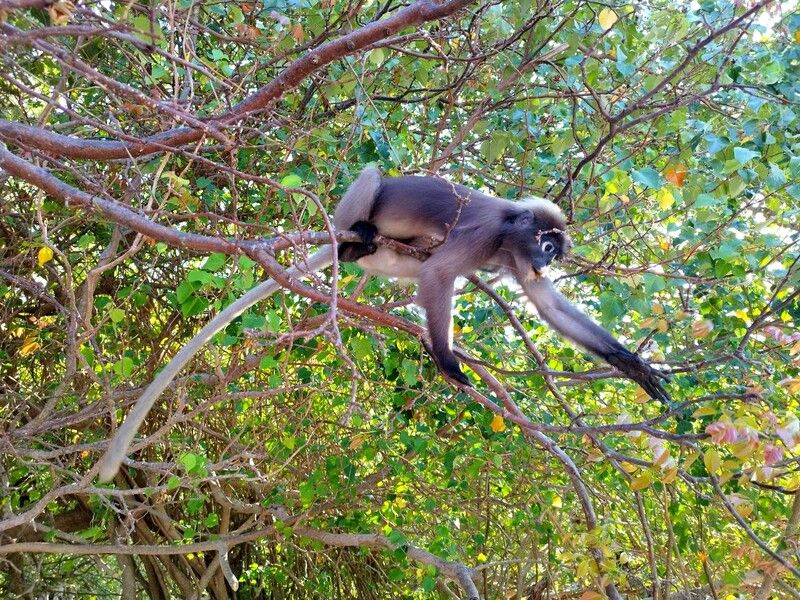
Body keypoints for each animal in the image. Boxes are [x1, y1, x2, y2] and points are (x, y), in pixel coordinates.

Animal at [334, 167, 670, 402]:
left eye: (553, 256)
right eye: (547, 247)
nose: (545, 265)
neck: (508, 237)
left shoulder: (517, 261)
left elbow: (551, 308)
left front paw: (630, 363)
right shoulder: (486, 233)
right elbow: (438, 273)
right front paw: (447, 360)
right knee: (372, 175)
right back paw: (350, 244)